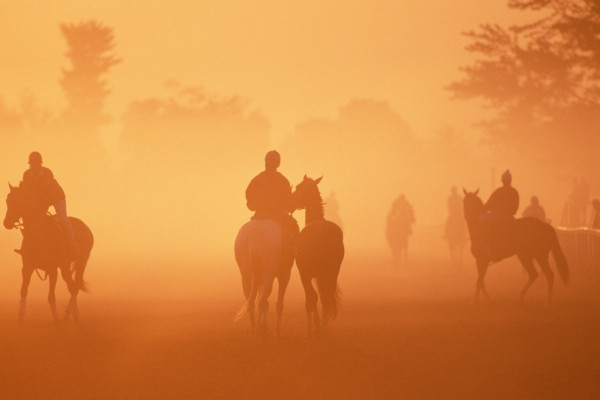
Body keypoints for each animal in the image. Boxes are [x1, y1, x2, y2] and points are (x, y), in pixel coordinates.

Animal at [4, 184, 94, 322]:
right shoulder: (27, 268)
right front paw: (20, 317)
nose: (7, 223)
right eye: (7, 201)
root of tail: (87, 230)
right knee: (72, 285)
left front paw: (56, 319)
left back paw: (68, 313)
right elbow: (23, 290)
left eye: (19, 201)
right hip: (65, 267)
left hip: (81, 263)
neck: (38, 233)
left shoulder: (52, 270)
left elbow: (51, 297)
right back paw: (73, 314)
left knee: (75, 286)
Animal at [292, 177, 344, 336]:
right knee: (326, 296)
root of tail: (321, 231)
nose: (290, 202)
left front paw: (311, 327)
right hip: (332, 273)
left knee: (316, 297)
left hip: (311, 274)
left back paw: (318, 327)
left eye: (299, 188)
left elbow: (309, 299)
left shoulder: (304, 275)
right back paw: (325, 328)